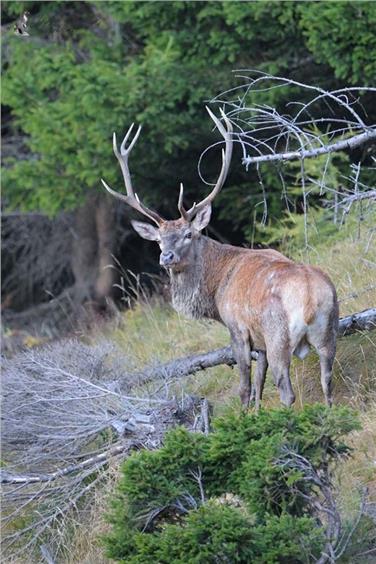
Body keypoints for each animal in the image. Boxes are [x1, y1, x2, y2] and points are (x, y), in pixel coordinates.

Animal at [101, 109, 340, 410]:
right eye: (158, 240)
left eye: (189, 234)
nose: (166, 256)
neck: (216, 291)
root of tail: (310, 297)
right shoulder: (259, 342)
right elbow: (258, 386)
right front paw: (257, 414)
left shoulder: (237, 328)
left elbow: (245, 388)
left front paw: (245, 415)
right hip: (330, 331)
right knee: (327, 382)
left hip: (278, 335)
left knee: (287, 391)